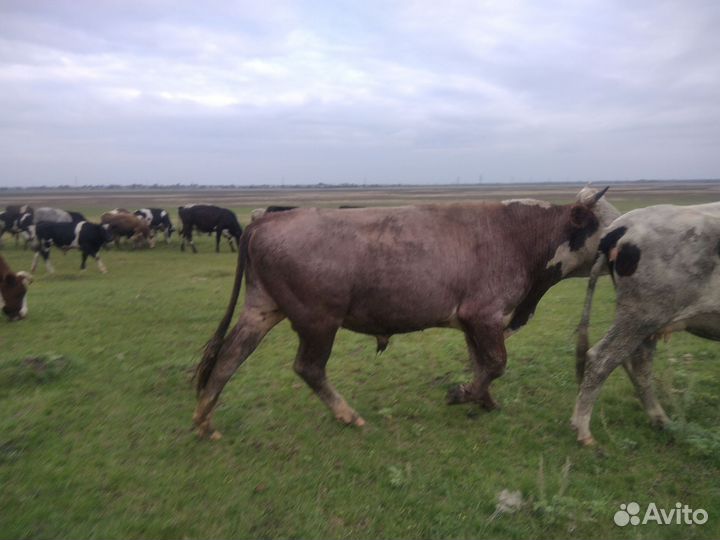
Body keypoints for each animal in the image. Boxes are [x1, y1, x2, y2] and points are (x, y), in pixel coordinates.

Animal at [191, 187, 619, 439]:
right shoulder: (485, 314)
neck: (520, 234)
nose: (627, 237)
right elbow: (496, 363)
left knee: (228, 358)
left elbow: (482, 363)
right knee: (308, 367)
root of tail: (268, 218)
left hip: (262, 309)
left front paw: (484, 400)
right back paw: (347, 414)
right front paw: (464, 394)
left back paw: (205, 419)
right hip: (318, 321)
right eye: (605, 222)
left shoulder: (473, 322)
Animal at [573, 201, 720, 446]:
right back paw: (583, 429)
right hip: (642, 316)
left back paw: (660, 419)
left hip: (646, 321)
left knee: (638, 362)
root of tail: (620, 227)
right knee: (602, 359)